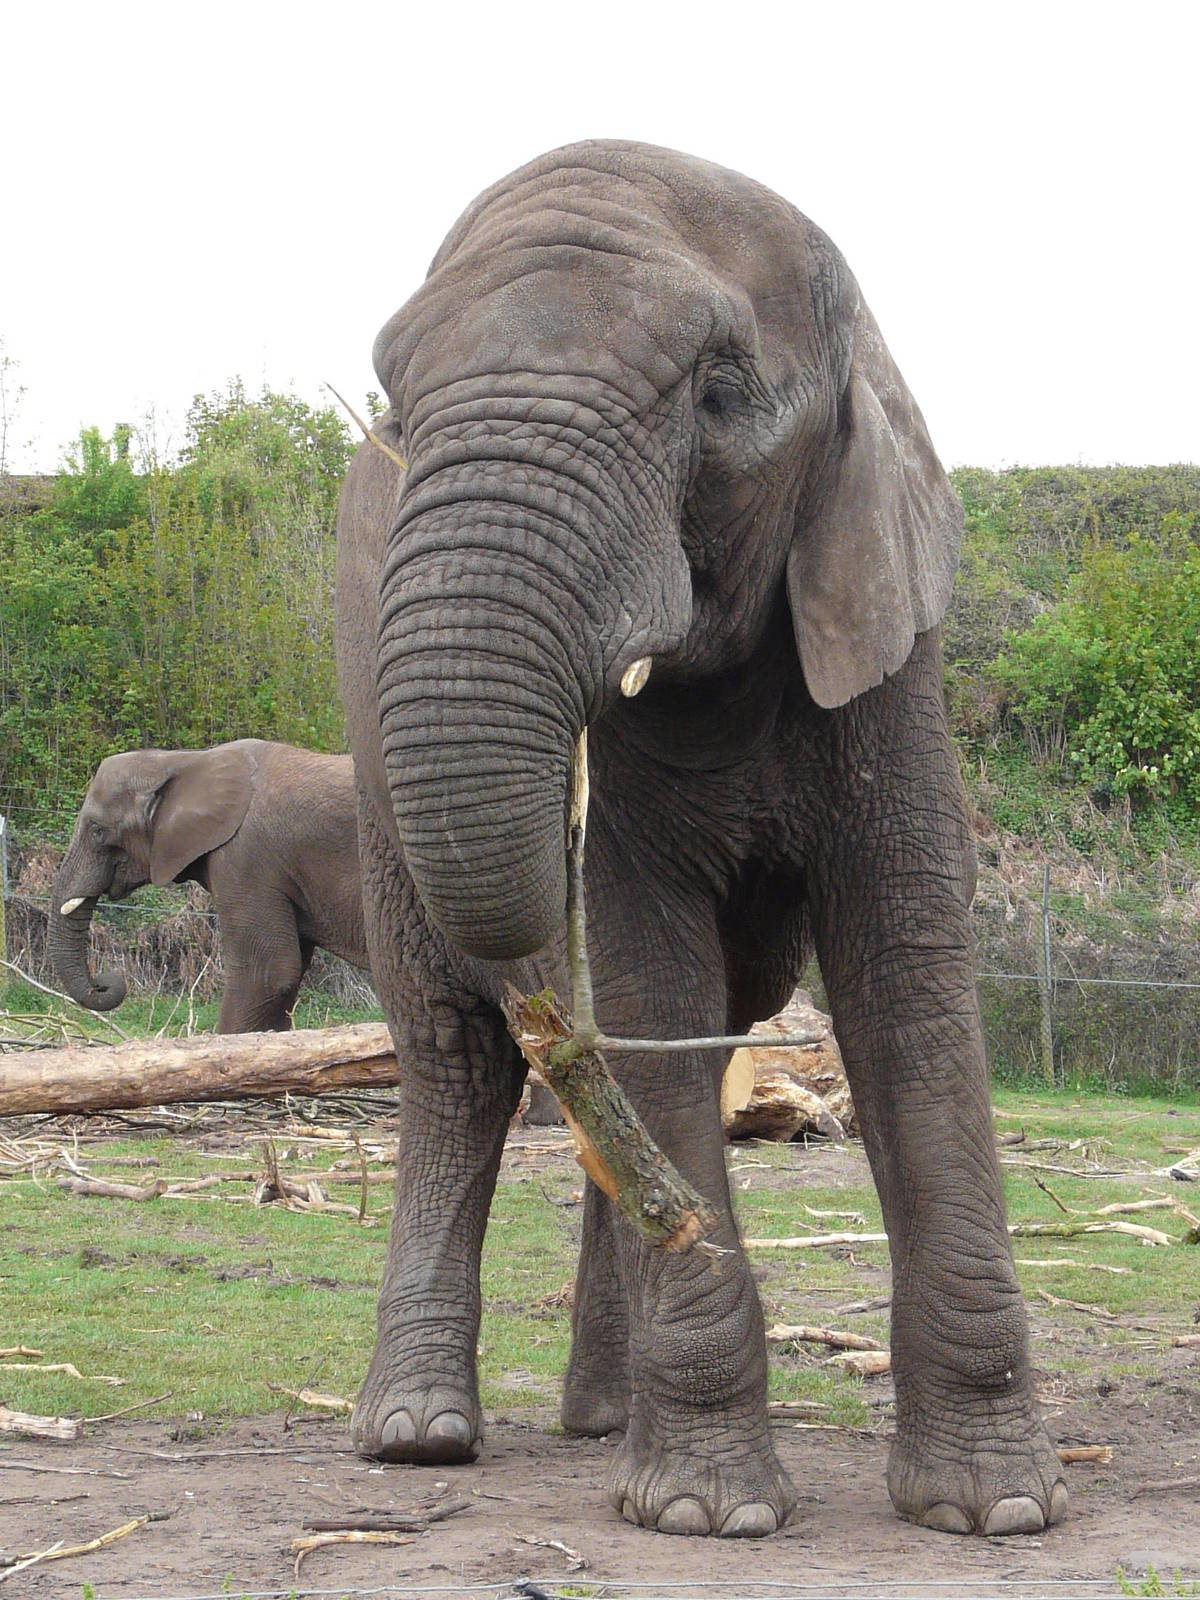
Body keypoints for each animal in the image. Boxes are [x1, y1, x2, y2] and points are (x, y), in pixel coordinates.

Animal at [334, 140, 1066, 1540]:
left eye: (720, 394)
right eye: (397, 403)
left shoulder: (889, 634)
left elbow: (904, 981)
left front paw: (993, 1509)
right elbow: (652, 971)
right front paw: (702, 1513)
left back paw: (601, 1416)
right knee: (460, 1047)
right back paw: (416, 1436)